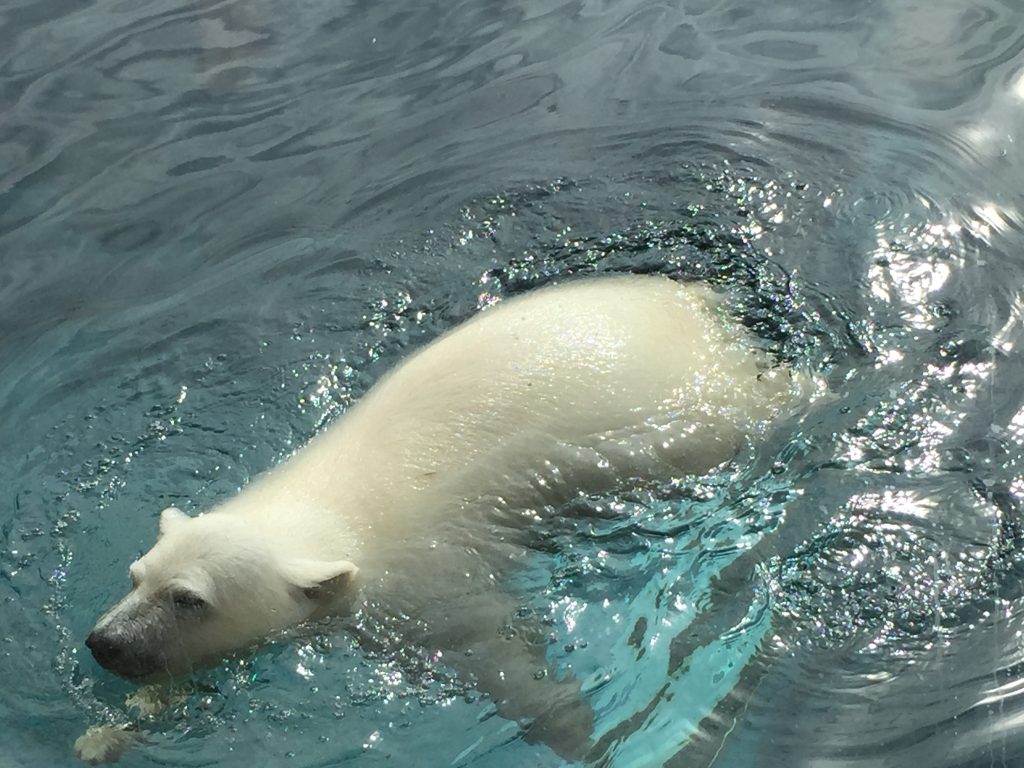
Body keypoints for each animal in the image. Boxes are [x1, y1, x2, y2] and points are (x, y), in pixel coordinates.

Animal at [83, 274, 802, 761]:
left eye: (189, 599)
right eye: (136, 576)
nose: (104, 643)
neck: (320, 513)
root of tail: (703, 308)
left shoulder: (425, 579)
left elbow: (495, 650)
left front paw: (580, 732)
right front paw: (105, 734)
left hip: (697, 414)